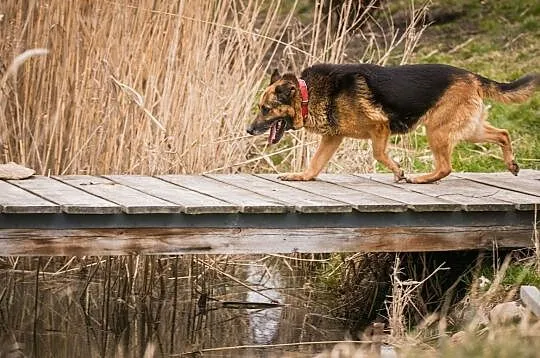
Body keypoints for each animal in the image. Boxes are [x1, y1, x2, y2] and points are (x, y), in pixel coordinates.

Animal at [247, 62, 536, 183]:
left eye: (265, 109)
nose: (248, 130)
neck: (308, 94)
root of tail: (472, 76)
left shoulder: (380, 127)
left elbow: (378, 153)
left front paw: (398, 171)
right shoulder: (333, 137)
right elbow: (315, 164)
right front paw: (301, 176)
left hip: (437, 132)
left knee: (445, 167)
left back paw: (421, 179)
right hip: (467, 129)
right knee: (503, 133)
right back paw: (511, 164)